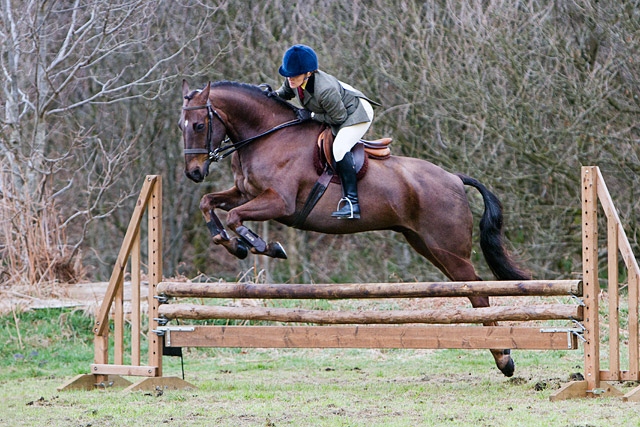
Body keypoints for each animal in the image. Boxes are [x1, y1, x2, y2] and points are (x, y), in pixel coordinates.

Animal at [179, 79, 528, 378]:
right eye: (181, 126)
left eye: (198, 125)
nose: (194, 172)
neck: (267, 136)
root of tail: (455, 178)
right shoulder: (244, 193)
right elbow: (209, 204)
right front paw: (233, 244)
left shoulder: (279, 203)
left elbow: (236, 218)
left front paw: (265, 247)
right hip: (425, 244)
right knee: (469, 289)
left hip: (448, 248)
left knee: (478, 292)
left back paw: (504, 359)